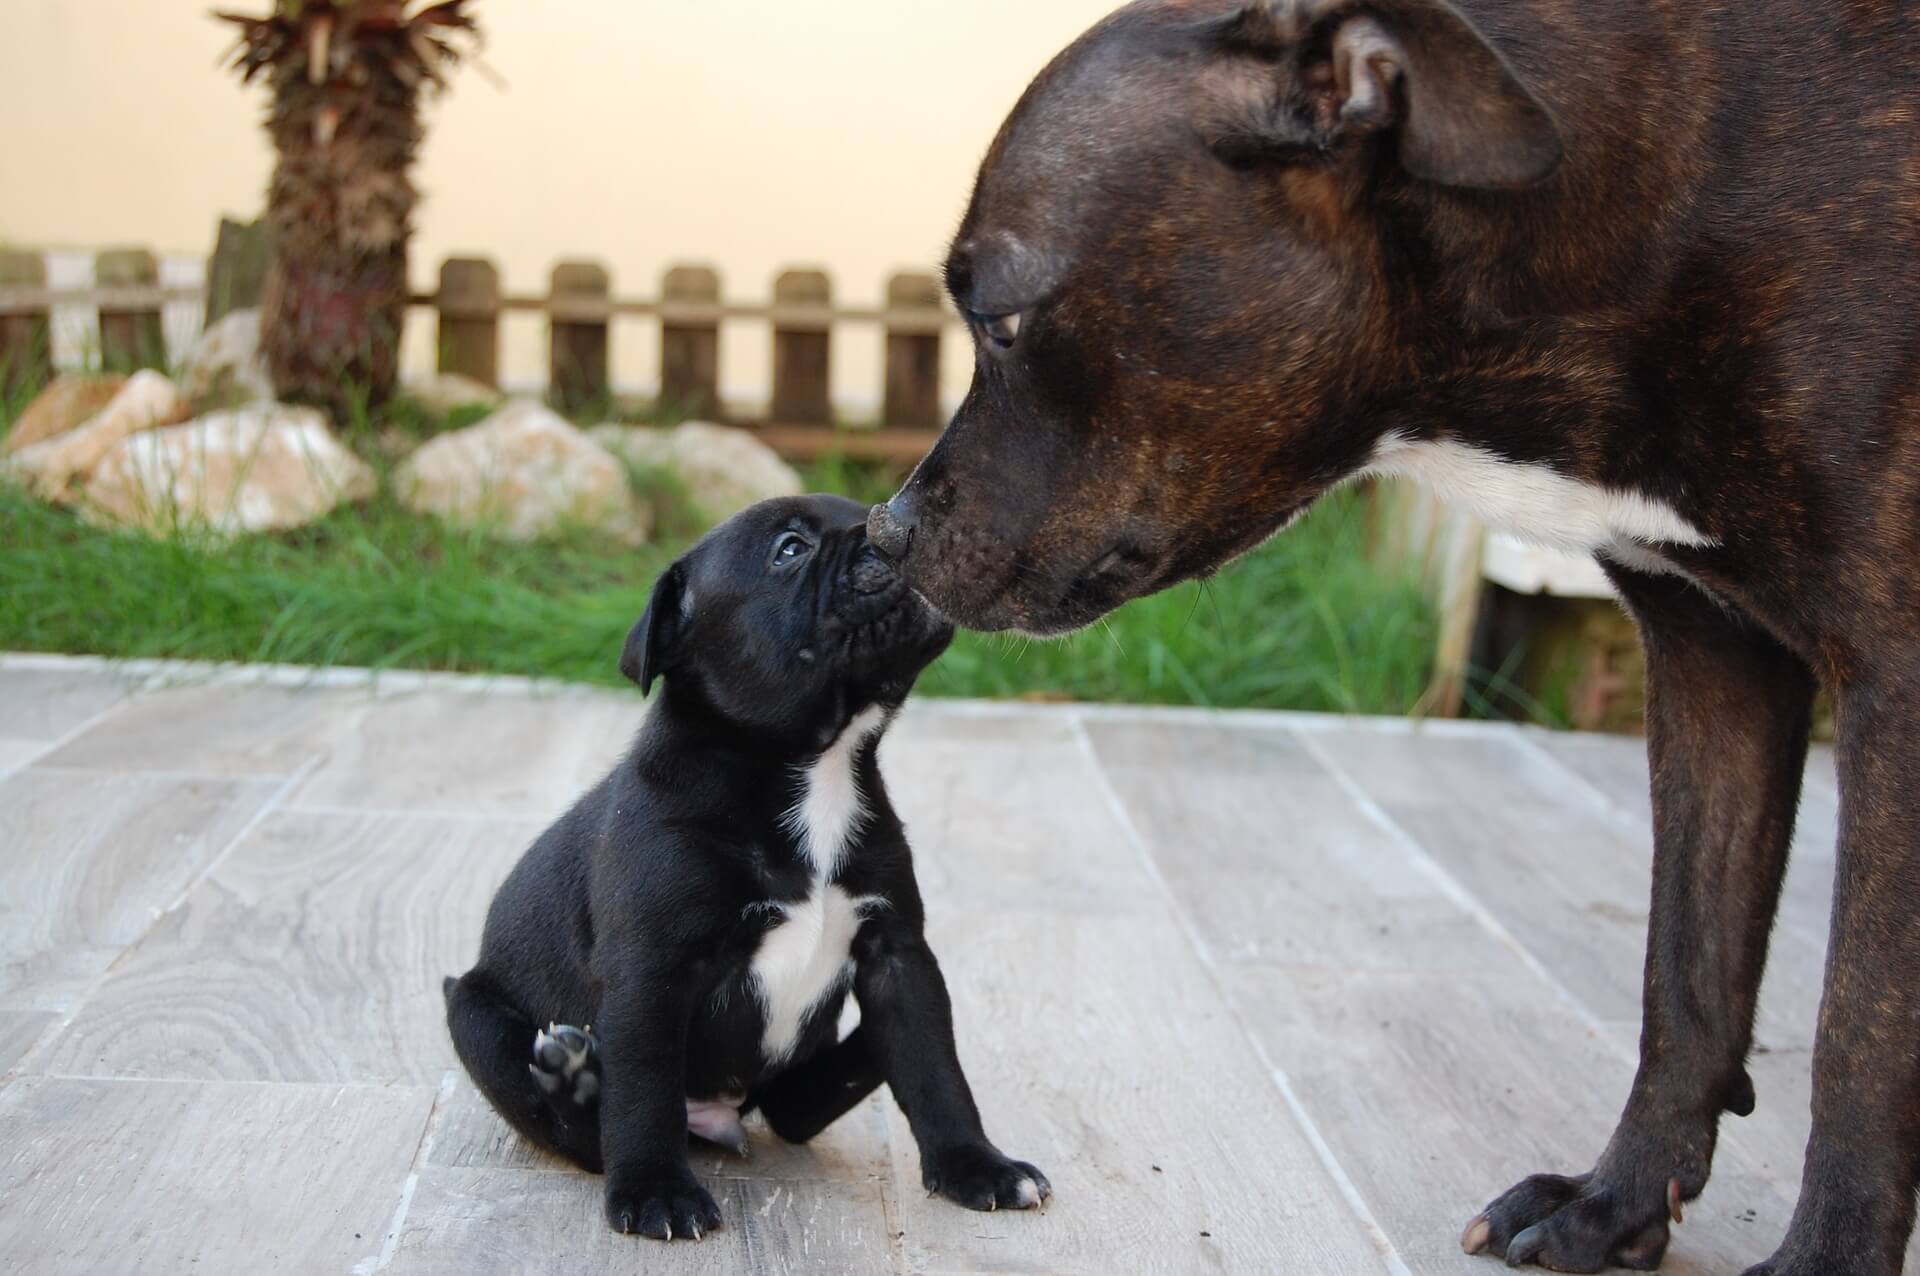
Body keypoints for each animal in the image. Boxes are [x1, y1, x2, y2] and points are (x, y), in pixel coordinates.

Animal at [445, 495, 1052, 1235]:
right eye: (789, 549)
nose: (893, 527)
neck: (814, 766)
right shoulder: (651, 971)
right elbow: (643, 1092)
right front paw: (654, 1191)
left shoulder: (897, 954)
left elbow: (935, 1068)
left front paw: (976, 1165)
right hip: (472, 1013)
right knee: (581, 1133)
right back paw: (575, 1080)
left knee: (800, 1105)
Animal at [871, 2, 1920, 1274]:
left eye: (1002, 317)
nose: (886, 530)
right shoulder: (1714, 662)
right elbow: (1688, 976)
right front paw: (1614, 1201)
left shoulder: (1898, 689)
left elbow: (1861, 1029)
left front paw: (1828, 1257)